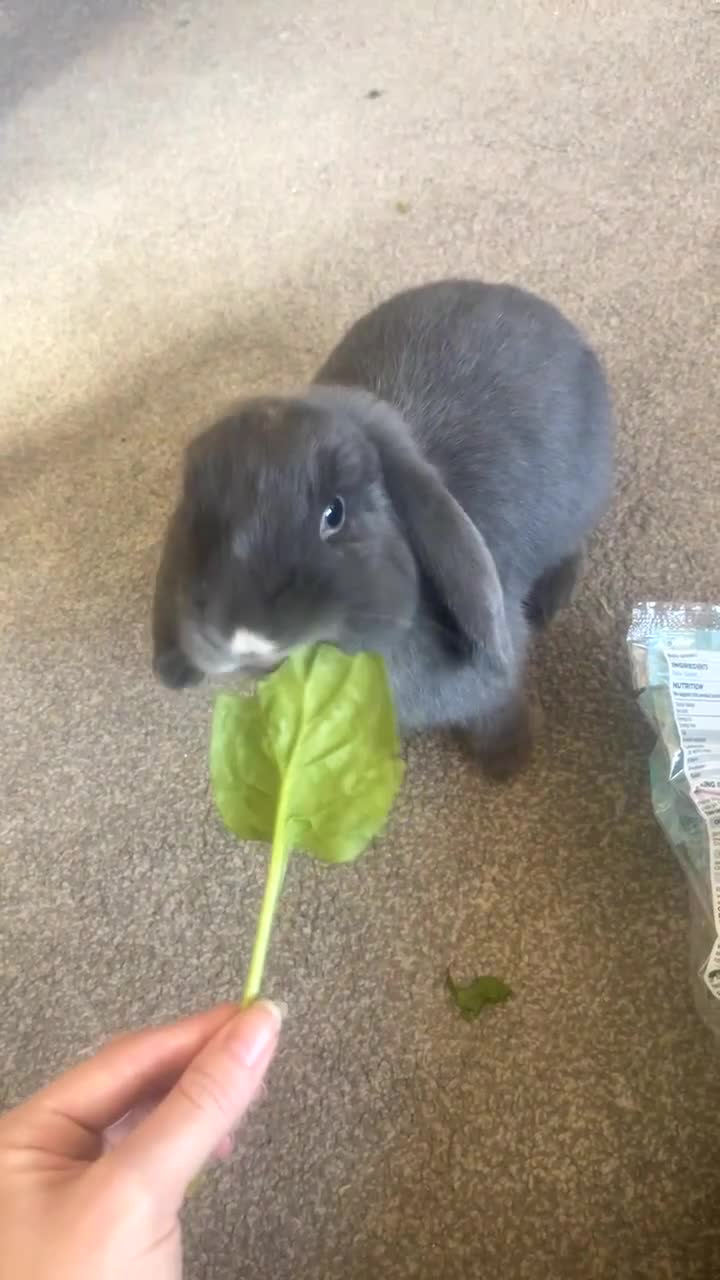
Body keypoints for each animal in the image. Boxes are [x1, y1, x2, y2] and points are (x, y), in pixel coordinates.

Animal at [152, 279, 613, 778]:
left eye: (334, 514)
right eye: (197, 517)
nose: (243, 634)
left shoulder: (491, 690)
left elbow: (496, 708)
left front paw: (509, 762)